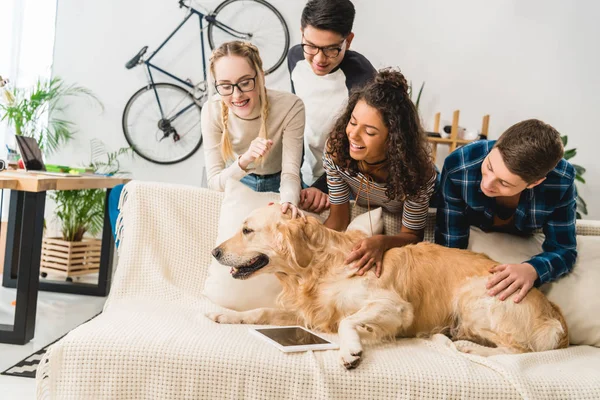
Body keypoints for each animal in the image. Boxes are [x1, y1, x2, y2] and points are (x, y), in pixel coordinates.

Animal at [209, 205, 568, 370]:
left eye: (247, 230)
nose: (214, 252)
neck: (318, 267)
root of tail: (556, 317)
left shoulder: (395, 306)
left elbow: (347, 320)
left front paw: (350, 349)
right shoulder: (307, 313)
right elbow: (260, 311)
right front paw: (225, 315)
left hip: (474, 296)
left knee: (519, 351)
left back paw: (470, 349)